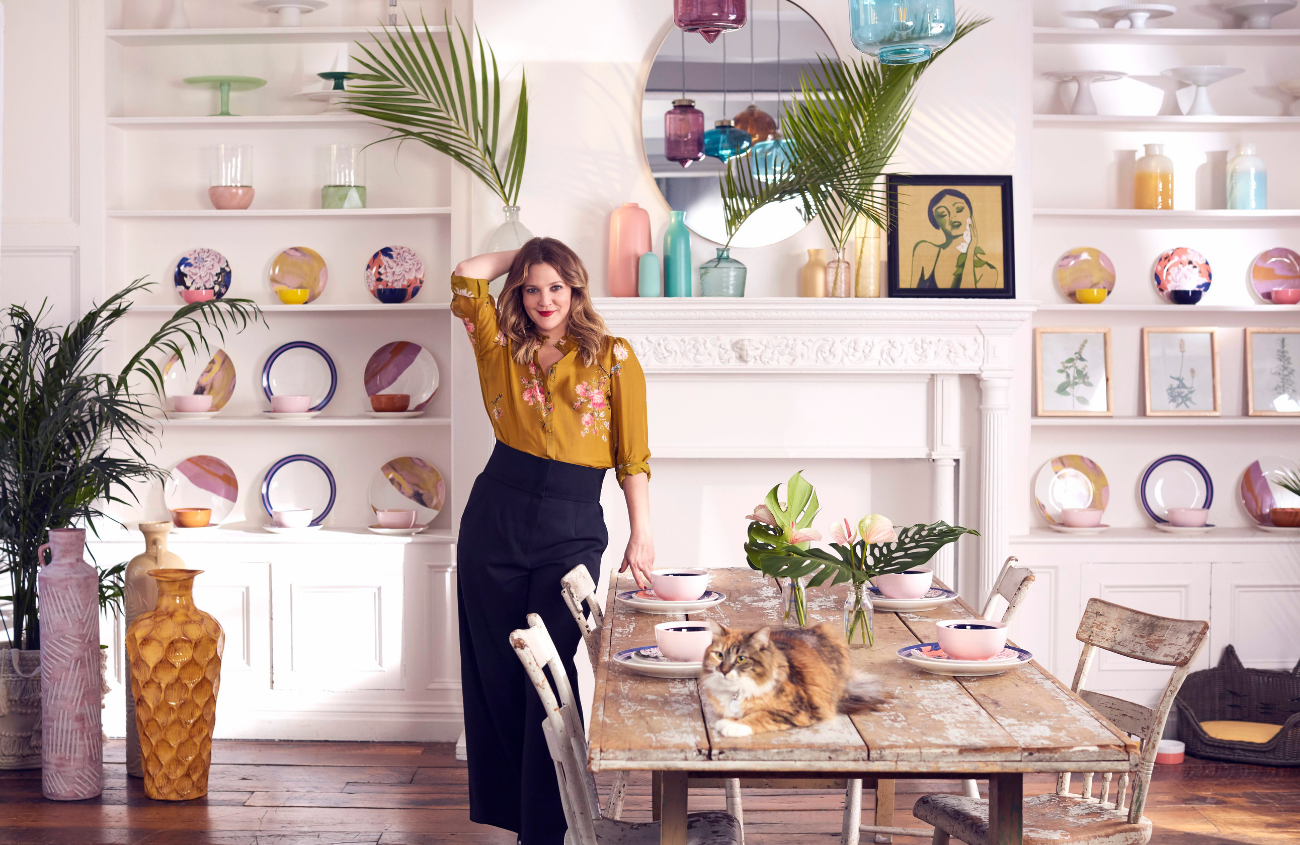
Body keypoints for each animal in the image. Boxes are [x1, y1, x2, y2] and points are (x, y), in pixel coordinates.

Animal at [702, 616, 883, 733]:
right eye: (719, 655)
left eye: (741, 659)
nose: (724, 671)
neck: (735, 691)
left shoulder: (799, 710)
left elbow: (761, 715)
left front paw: (732, 725)